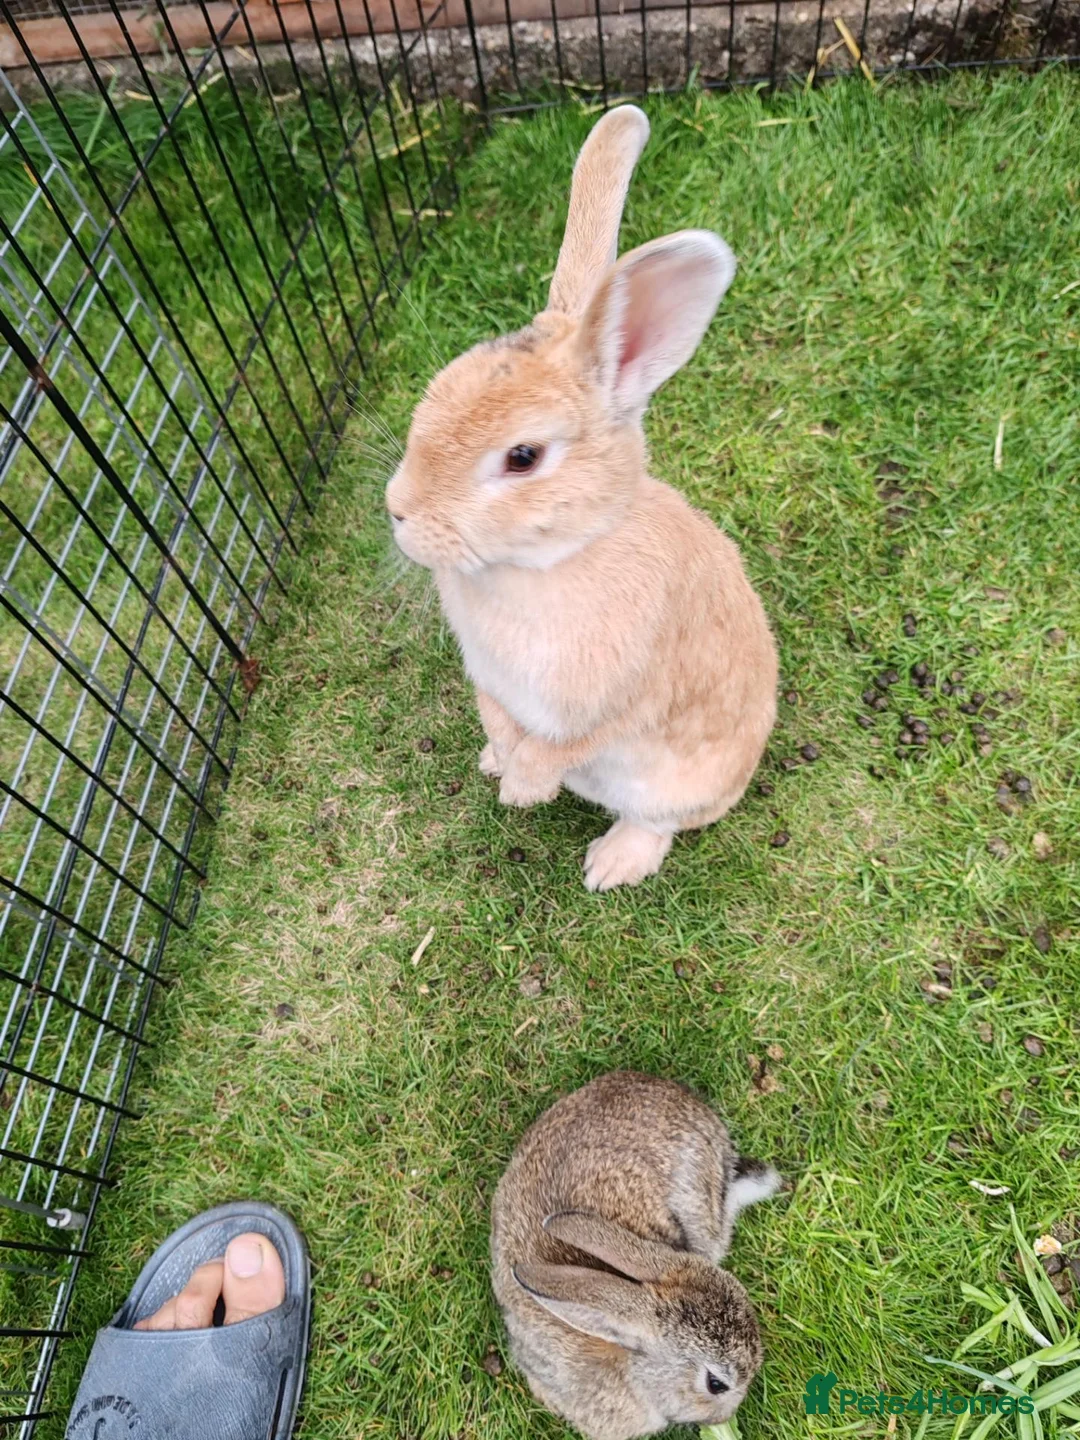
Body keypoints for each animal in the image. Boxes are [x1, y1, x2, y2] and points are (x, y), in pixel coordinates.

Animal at [385, 104, 777, 891]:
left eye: (523, 457)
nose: (399, 511)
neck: (552, 562)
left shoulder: (617, 703)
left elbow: (563, 745)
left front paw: (523, 789)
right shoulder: (493, 684)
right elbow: (497, 715)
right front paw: (502, 763)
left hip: (675, 785)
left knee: (657, 823)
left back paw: (611, 865)